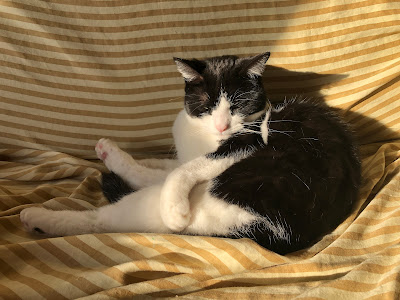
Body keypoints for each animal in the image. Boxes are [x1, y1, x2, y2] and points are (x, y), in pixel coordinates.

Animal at [20, 52, 360, 254]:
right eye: (207, 103)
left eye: (238, 105)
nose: (222, 125)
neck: (203, 136)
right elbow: (160, 167)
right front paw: (115, 155)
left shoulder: (246, 142)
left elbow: (183, 170)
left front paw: (174, 207)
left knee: (101, 220)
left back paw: (38, 217)